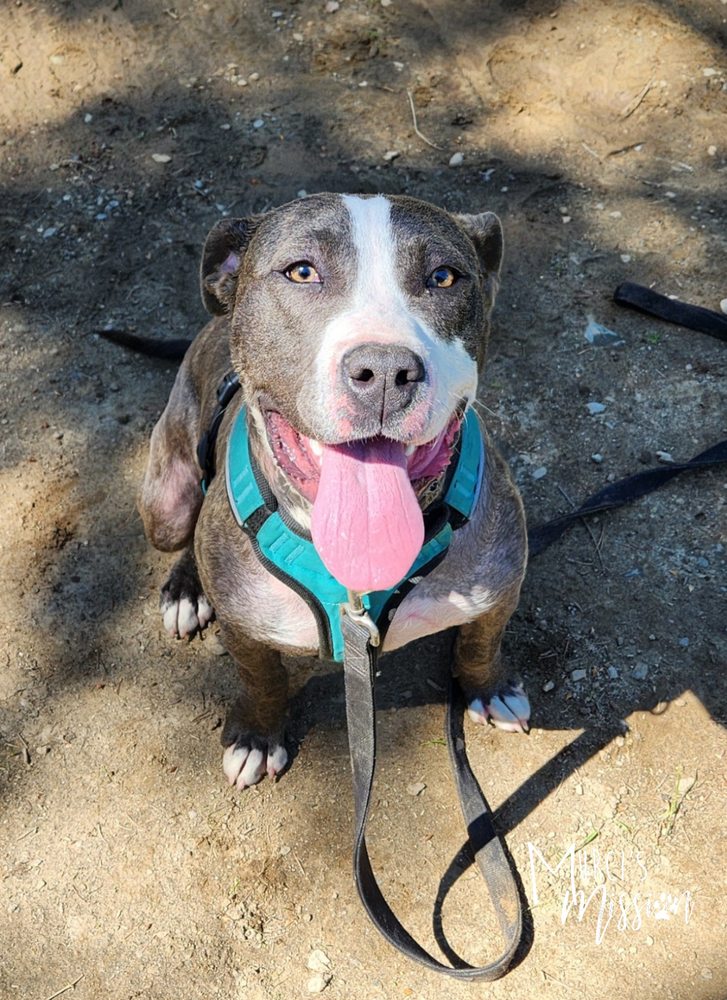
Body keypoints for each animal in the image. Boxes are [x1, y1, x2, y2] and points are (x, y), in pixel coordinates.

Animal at [138, 195, 528, 788]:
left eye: (443, 277)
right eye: (302, 271)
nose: (386, 369)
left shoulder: (501, 583)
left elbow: (481, 643)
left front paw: (491, 689)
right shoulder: (244, 628)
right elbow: (262, 678)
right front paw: (258, 736)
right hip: (167, 502)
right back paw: (187, 589)